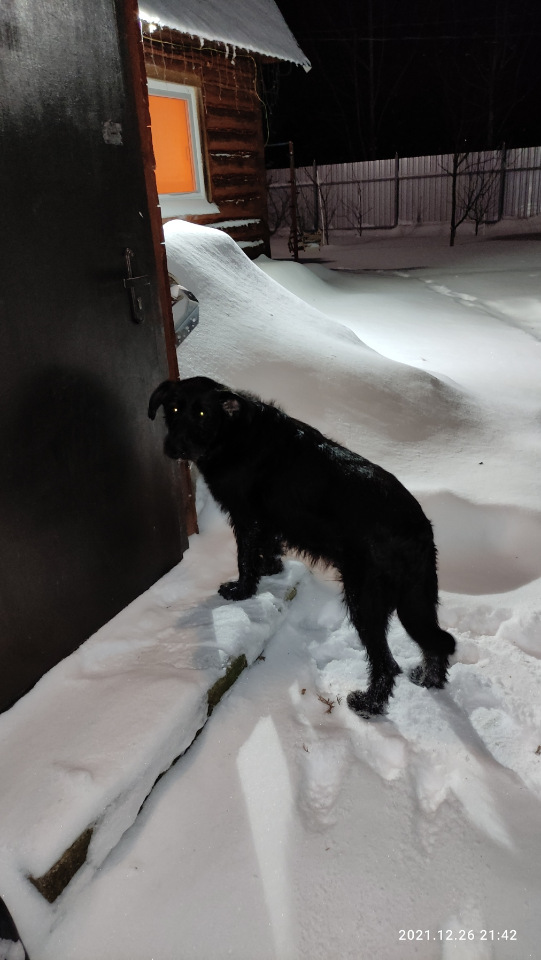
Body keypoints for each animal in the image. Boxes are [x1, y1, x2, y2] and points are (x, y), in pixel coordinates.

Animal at [149, 377, 455, 717]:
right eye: (174, 408)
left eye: (202, 413)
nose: (173, 448)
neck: (235, 434)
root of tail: (417, 528)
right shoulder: (267, 521)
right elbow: (268, 547)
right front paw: (271, 568)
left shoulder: (246, 518)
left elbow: (244, 557)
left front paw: (242, 590)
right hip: (418, 600)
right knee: (434, 644)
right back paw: (428, 679)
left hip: (365, 600)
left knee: (387, 664)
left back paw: (368, 705)